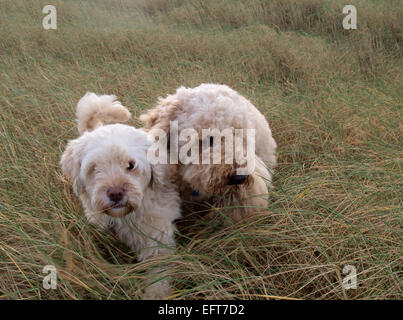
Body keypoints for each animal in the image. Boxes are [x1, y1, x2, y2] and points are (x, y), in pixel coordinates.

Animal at [60, 93, 181, 300]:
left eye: (131, 165)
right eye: (95, 168)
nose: (115, 193)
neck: (127, 216)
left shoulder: (158, 241)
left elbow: (158, 276)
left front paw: (154, 294)